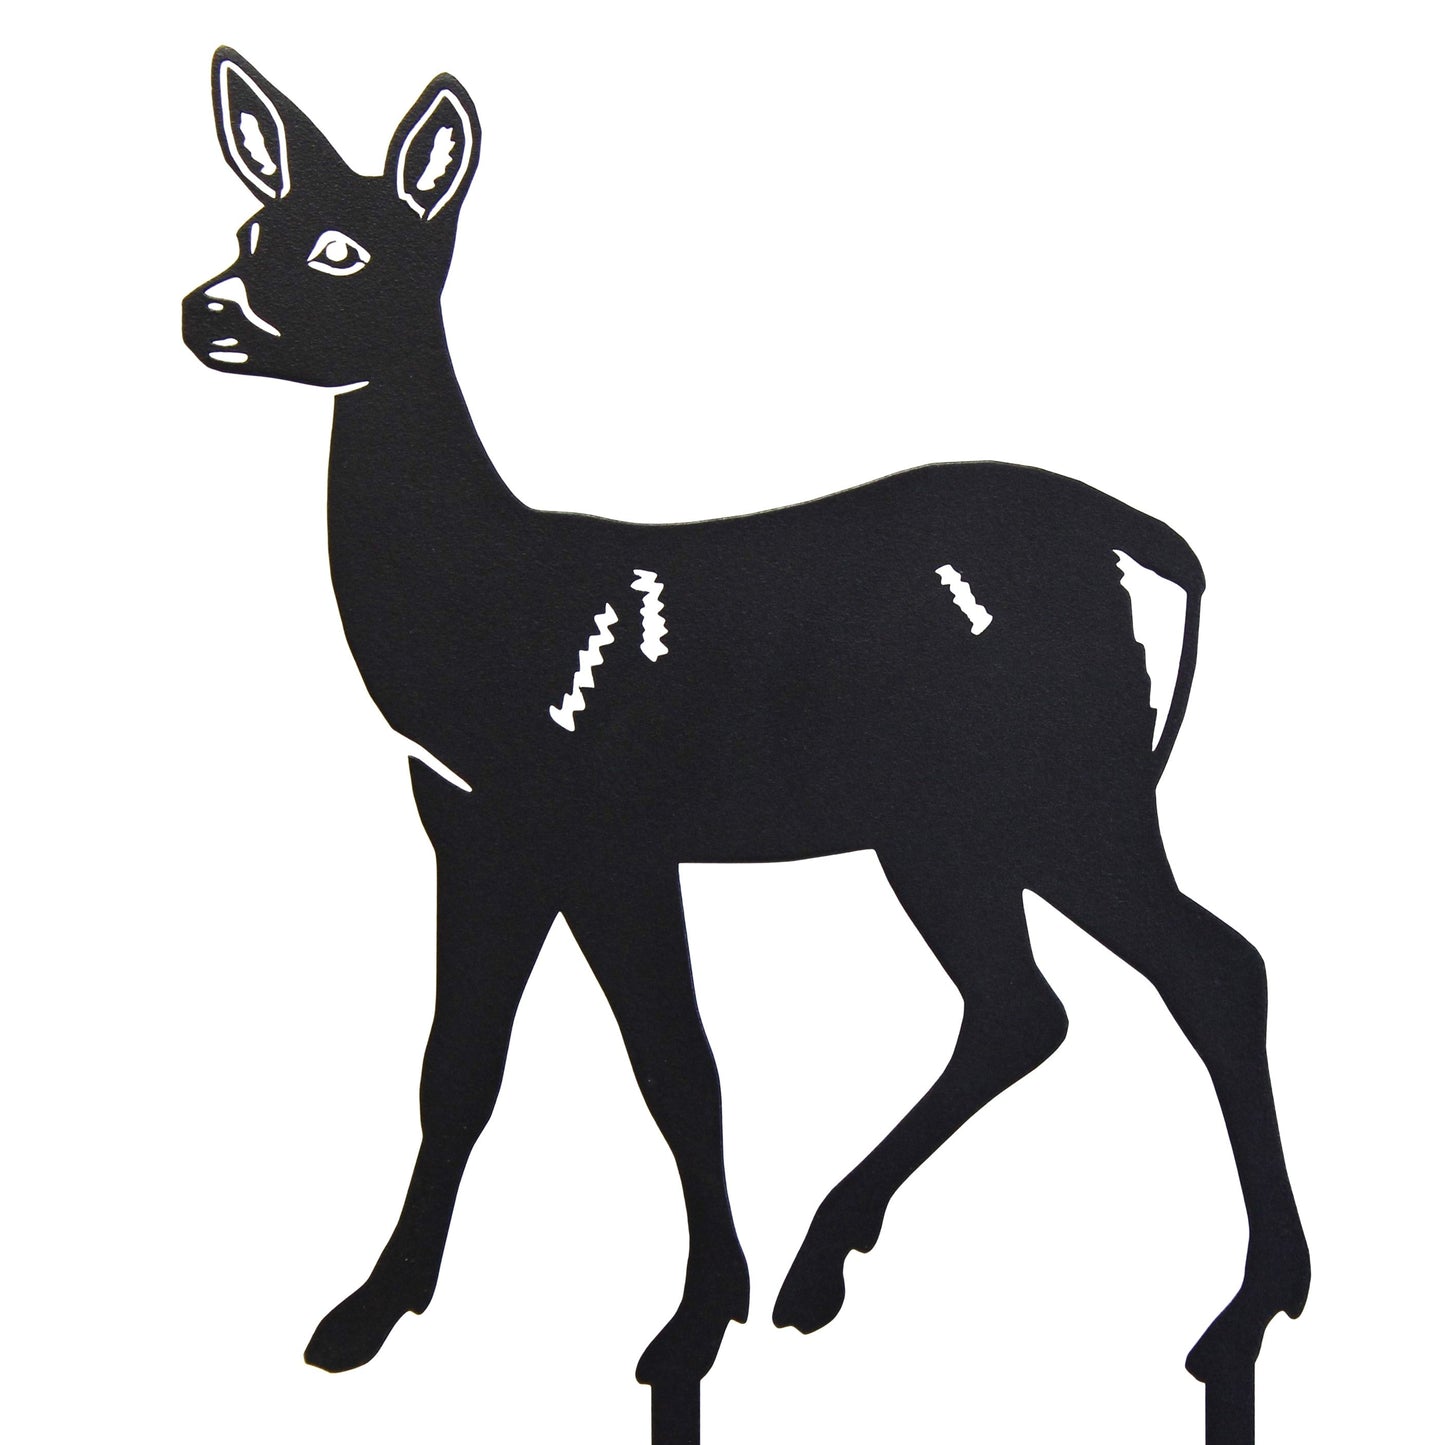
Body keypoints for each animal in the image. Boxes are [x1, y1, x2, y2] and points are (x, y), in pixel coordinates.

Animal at [182, 48, 1309, 1445]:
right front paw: (362, 1315)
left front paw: (686, 1329)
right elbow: (456, 1065)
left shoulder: (609, 824)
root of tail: (1176, 563)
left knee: (1212, 967)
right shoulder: (472, 823)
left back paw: (1244, 1312)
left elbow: (678, 1063)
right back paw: (824, 1261)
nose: (206, 310)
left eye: (342, 246)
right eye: (248, 229)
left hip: (1070, 789)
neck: (496, 616)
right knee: (1022, 1003)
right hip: (948, 824)